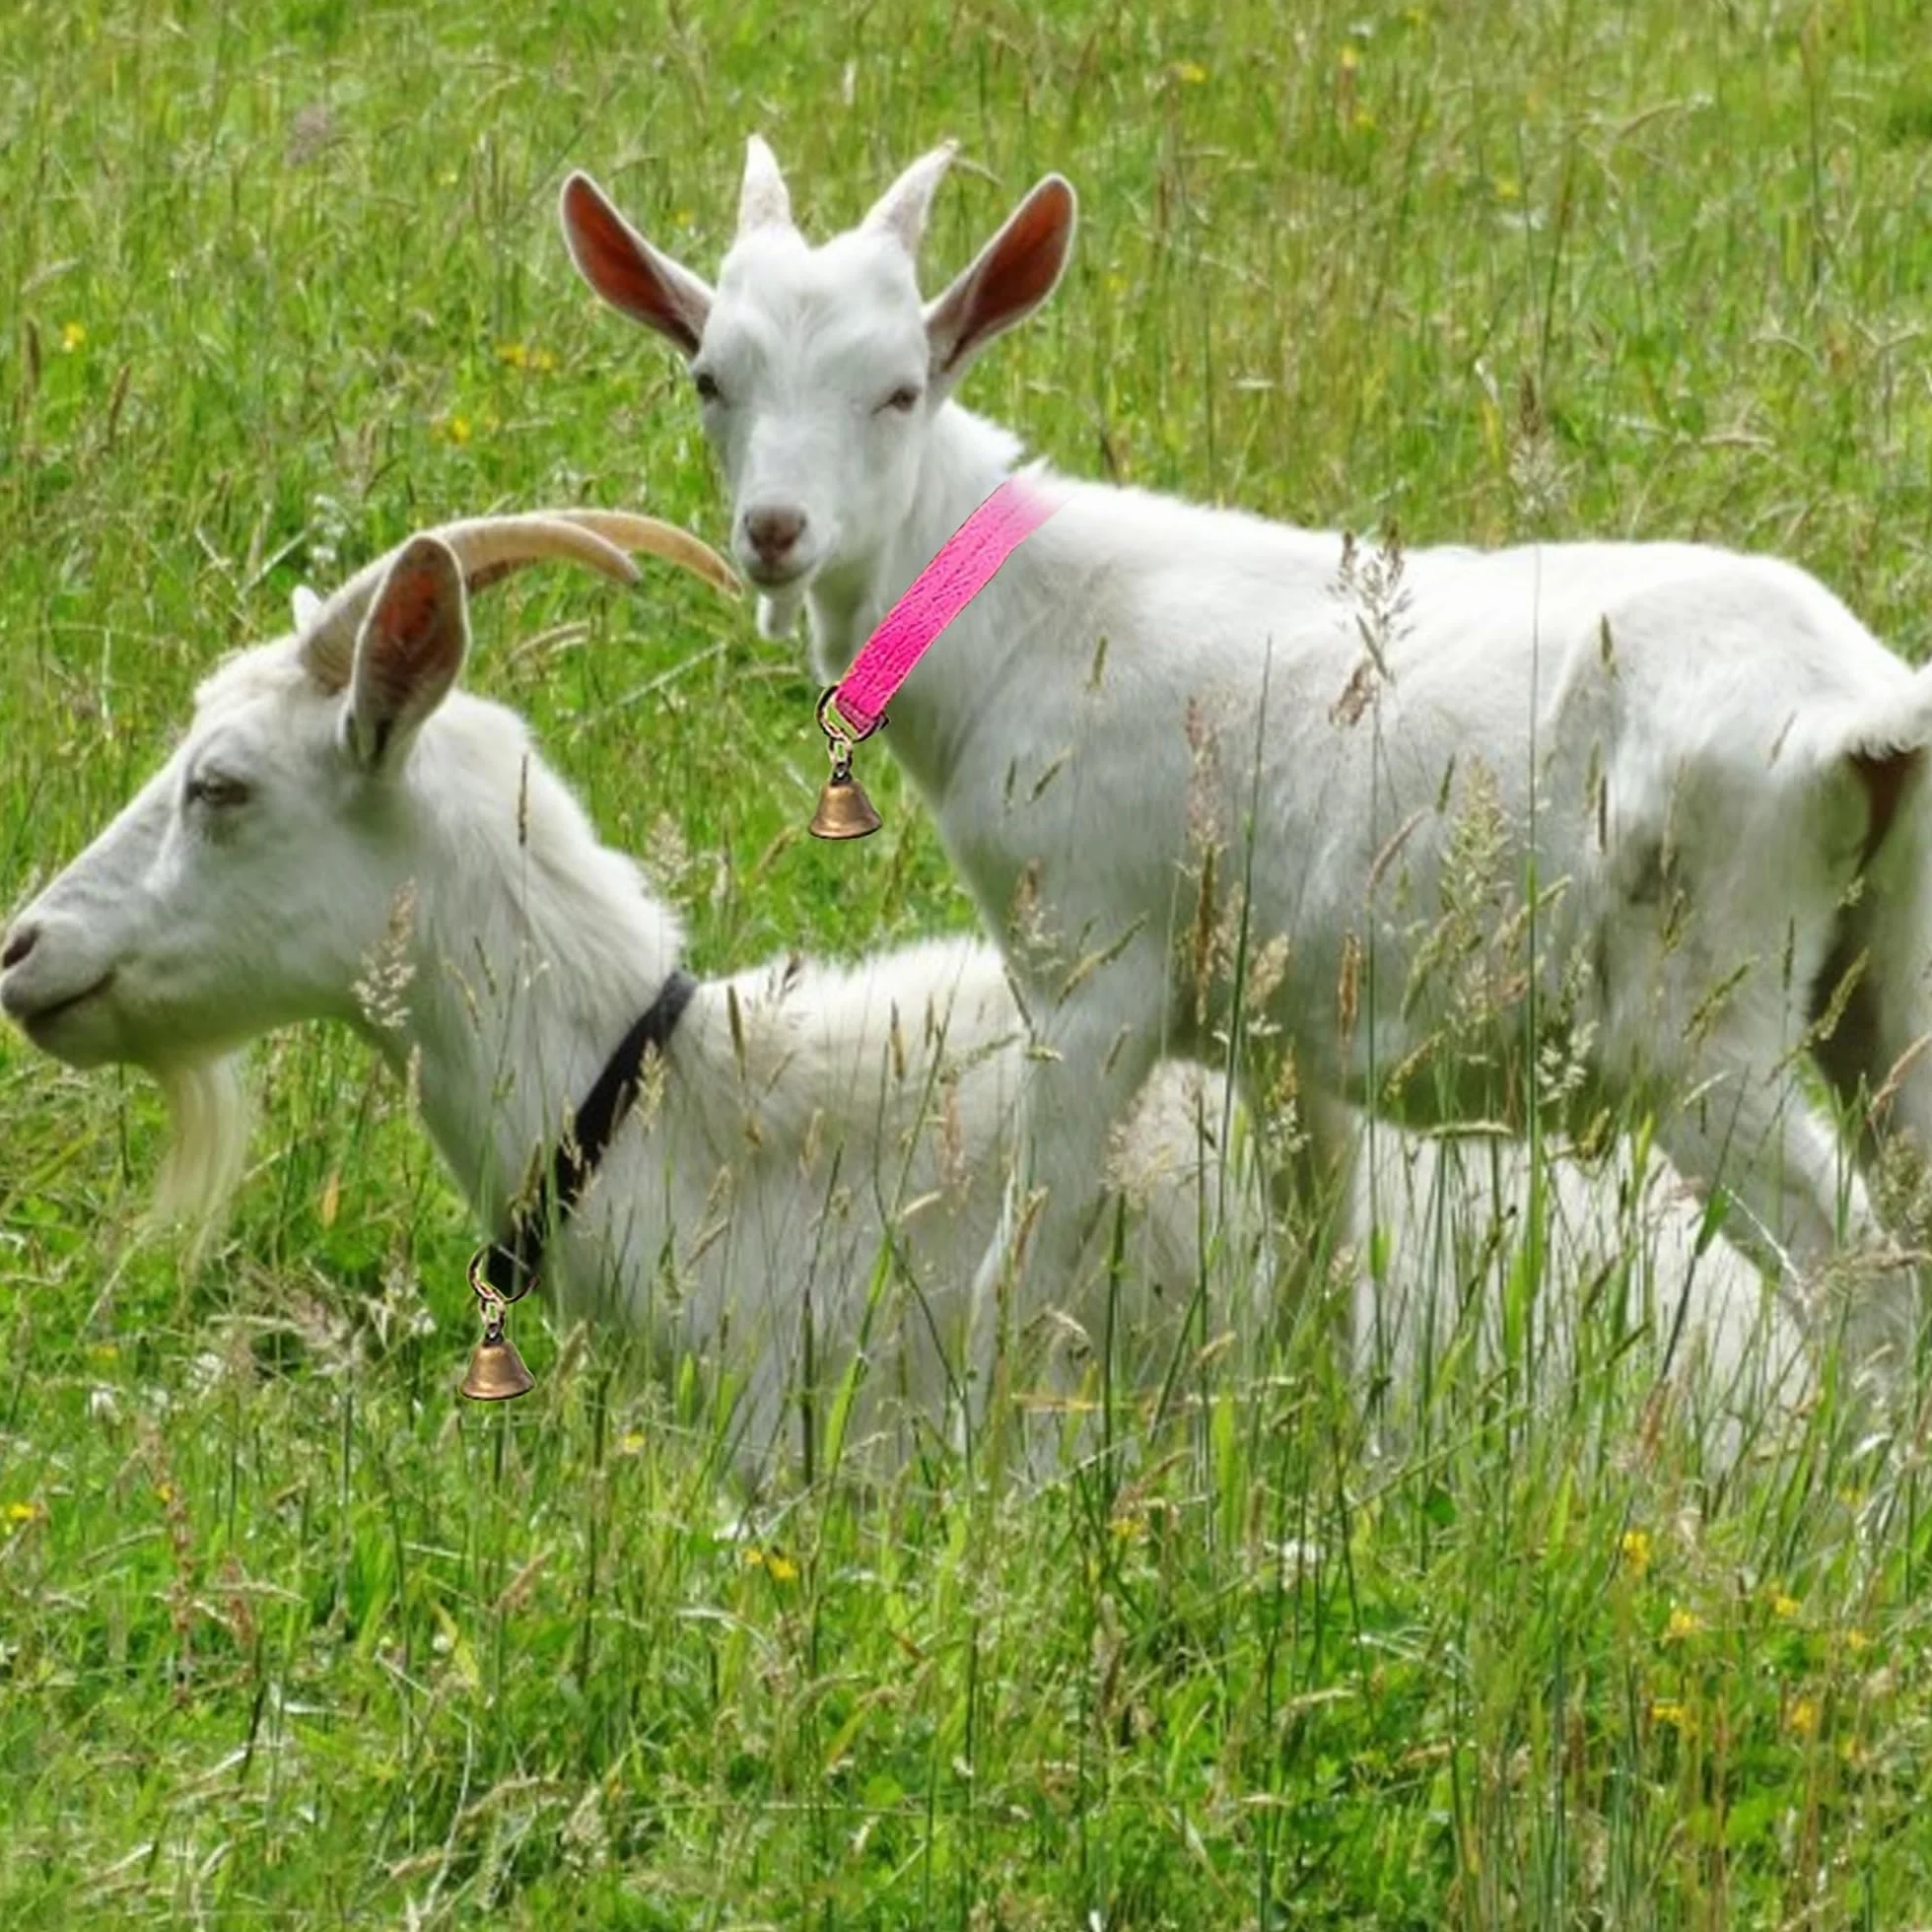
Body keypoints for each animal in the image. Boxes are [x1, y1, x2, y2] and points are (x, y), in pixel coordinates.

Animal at [560, 139, 1926, 1391]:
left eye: (899, 391)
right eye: (709, 377)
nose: (773, 531)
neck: (1021, 623)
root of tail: (1859, 702)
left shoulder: (1093, 978)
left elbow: (1021, 1272)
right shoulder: (1280, 1032)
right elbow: (1318, 1273)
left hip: (1700, 1016)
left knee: (1860, 1287)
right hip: (1880, 980)